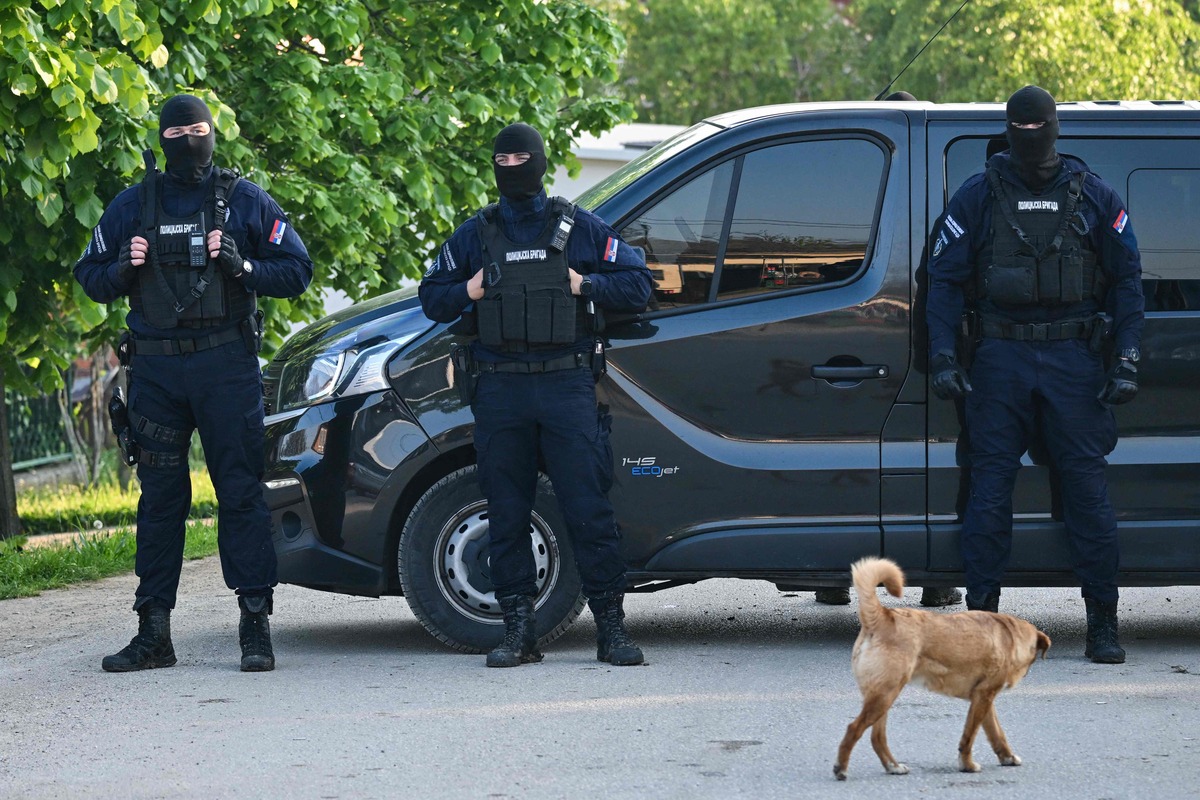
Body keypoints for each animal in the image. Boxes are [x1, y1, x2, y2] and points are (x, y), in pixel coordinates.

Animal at [835, 561, 1051, 777]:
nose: (1025, 674)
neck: (1010, 635)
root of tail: (882, 615)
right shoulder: (983, 697)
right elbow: (969, 737)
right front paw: (967, 764)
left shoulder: (983, 699)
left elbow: (996, 733)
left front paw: (1007, 757)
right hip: (885, 694)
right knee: (853, 728)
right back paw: (841, 768)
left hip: (882, 696)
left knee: (877, 737)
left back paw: (893, 766)